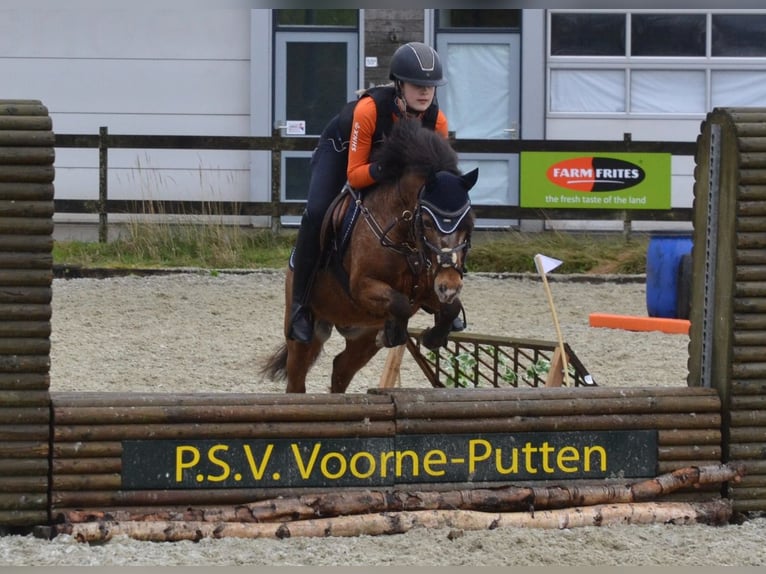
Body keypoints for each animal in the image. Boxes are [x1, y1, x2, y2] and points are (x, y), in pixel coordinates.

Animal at [264, 119, 480, 394]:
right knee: (297, 379)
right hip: (306, 333)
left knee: (340, 369)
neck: (406, 239)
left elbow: (450, 307)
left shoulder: (428, 290)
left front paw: (433, 336)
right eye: (427, 222)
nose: (449, 285)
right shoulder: (362, 286)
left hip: (362, 337)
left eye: (469, 223)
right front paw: (395, 333)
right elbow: (400, 303)